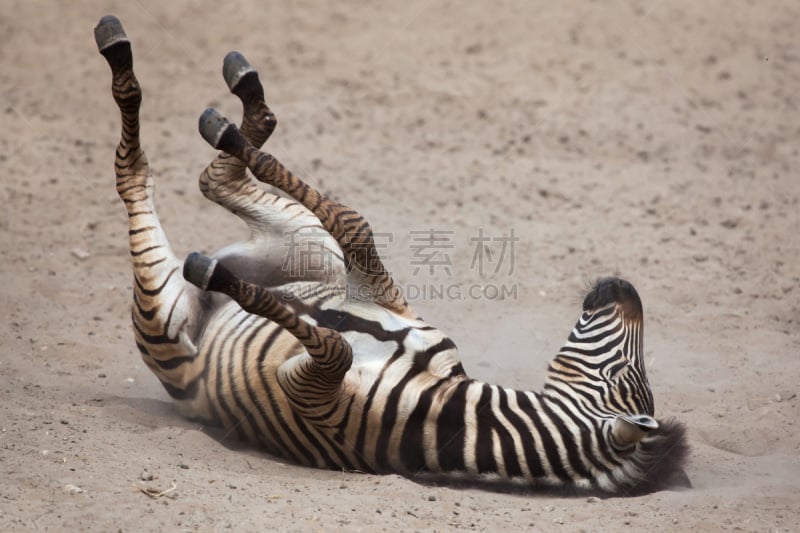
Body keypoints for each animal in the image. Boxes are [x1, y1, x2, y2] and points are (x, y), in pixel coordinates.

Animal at [95, 13, 688, 494]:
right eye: (628, 373)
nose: (624, 286)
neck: (445, 413)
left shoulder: (309, 393)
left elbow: (334, 344)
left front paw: (215, 270)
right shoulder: (381, 299)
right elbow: (354, 224)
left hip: (165, 317)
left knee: (138, 179)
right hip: (313, 252)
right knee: (218, 179)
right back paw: (229, 100)